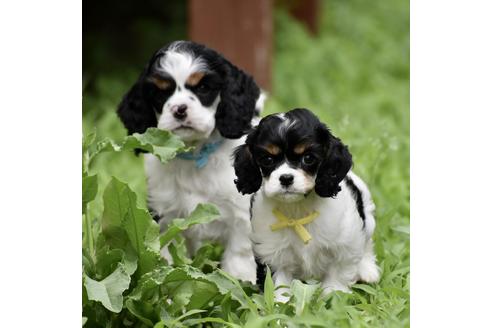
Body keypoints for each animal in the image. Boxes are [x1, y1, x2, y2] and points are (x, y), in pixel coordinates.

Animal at [116, 40, 266, 282]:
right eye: (161, 93)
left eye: (203, 88)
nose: (179, 109)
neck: (195, 155)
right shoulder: (163, 212)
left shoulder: (241, 215)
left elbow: (239, 256)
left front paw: (242, 281)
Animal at [234, 109, 380, 302]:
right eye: (267, 159)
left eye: (308, 158)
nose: (286, 178)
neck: (297, 210)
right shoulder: (273, 254)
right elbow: (279, 285)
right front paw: (280, 307)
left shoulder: (345, 245)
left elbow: (338, 273)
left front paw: (333, 297)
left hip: (368, 217)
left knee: (367, 244)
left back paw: (368, 270)